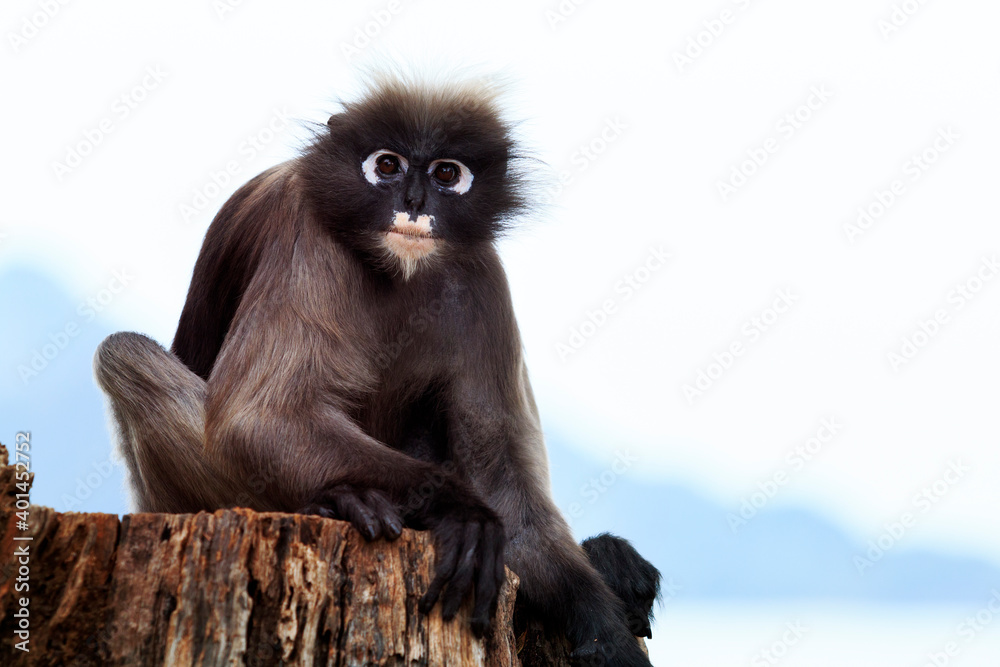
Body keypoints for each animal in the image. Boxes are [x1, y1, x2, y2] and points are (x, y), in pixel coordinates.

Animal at [94, 73, 659, 665]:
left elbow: (509, 498)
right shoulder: (306, 233)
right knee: (124, 351)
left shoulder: (482, 275)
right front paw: (462, 510)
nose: (413, 203)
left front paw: (601, 625)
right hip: (172, 504)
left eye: (447, 174)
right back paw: (340, 501)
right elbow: (257, 417)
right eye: (386, 165)